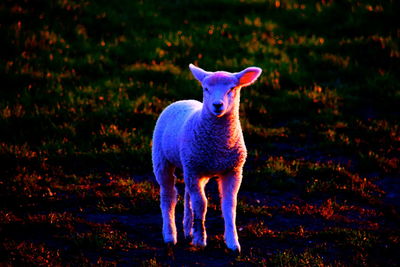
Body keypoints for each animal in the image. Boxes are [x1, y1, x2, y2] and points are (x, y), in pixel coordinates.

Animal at [152, 63, 260, 252]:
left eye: (232, 89)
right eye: (206, 88)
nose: (217, 105)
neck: (219, 144)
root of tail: (182, 101)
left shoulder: (233, 171)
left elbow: (229, 206)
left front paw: (233, 243)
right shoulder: (194, 170)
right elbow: (201, 204)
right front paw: (200, 240)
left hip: (192, 166)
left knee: (187, 194)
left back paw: (188, 229)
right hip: (162, 160)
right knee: (168, 196)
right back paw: (170, 235)